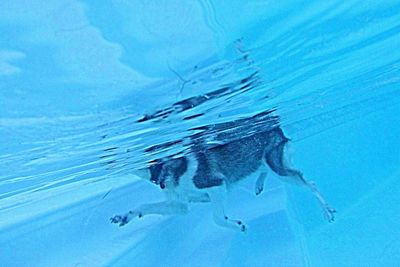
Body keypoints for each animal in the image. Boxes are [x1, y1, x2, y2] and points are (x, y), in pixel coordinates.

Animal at [108, 113, 334, 232]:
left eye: (126, 151)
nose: (108, 153)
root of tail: (272, 121)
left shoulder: (215, 186)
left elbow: (217, 218)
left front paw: (237, 225)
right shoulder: (180, 205)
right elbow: (144, 206)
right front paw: (124, 216)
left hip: (279, 169)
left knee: (310, 184)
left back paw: (327, 210)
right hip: (262, 163)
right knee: (262, 170)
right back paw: (258, 185)